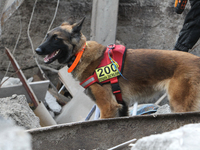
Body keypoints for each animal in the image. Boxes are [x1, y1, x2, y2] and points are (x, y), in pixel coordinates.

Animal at [35, 17, 200, 118]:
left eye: (56, 38)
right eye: (47, 36)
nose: (37, 50)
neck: (81, 53)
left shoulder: (108, 107)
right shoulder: (122, 106)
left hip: (180, 105)